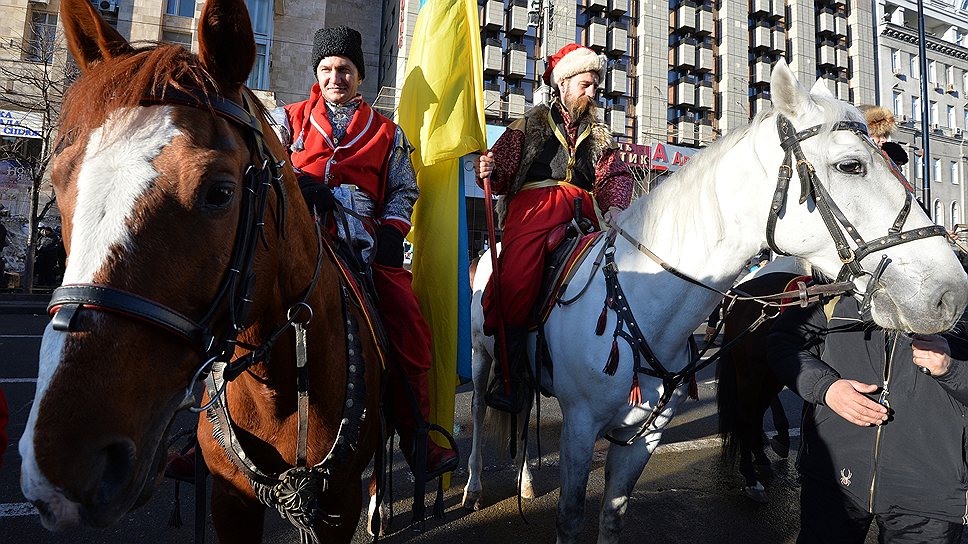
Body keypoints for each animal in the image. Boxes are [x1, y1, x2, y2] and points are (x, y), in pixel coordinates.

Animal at [18, 2, 380, 540]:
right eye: (61, 179)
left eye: (220, 191)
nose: (64, 461)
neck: (279, 388)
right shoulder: (231, 502)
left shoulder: (339, 503)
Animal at [462, 60, 968, 544]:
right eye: (851, 165)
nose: (952, 293)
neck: (642, 303)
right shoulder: (580, 429)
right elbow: (568, 518)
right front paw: (490, 165)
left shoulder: (643, 438)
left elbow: (612, 516)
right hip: (483, 356)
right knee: (483, 409)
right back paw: (473, 486)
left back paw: (526, 481)